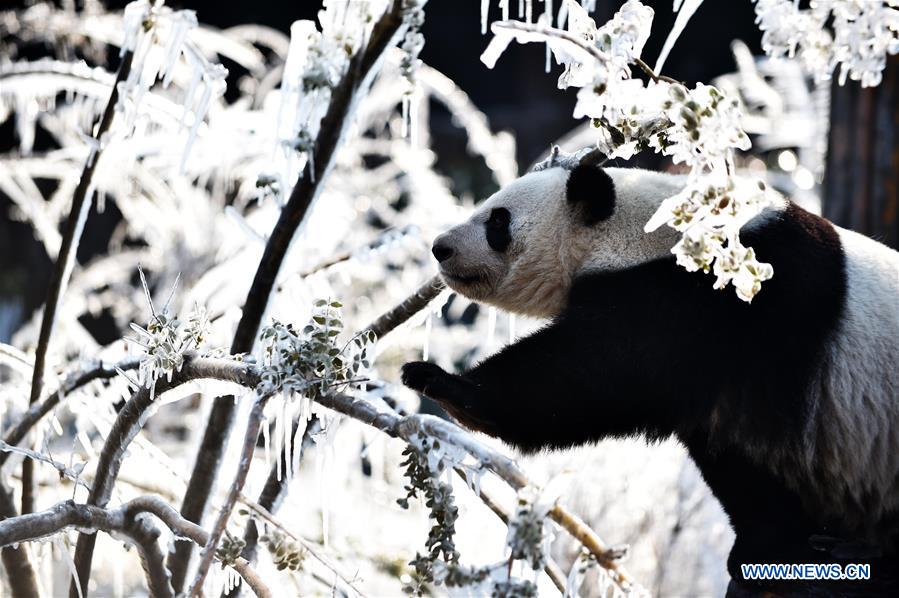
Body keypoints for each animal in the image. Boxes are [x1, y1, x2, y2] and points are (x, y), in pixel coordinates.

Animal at [404, 150, 899, 596]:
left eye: (497, 221)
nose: (441, 248)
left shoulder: (714, 299)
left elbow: (581, 376)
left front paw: (442, 383)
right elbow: (740, 462)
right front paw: (774, 549)